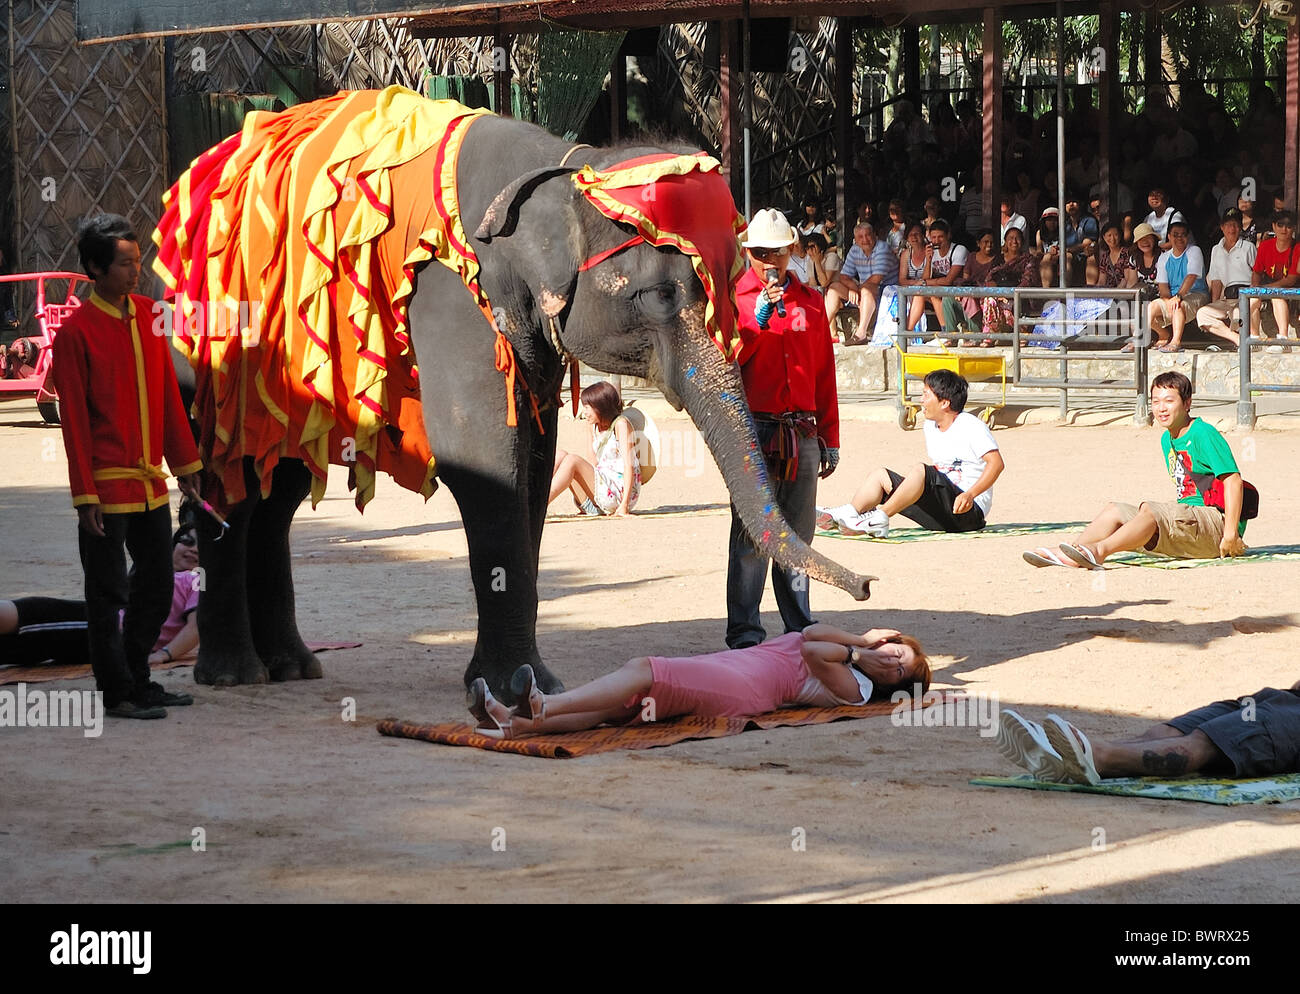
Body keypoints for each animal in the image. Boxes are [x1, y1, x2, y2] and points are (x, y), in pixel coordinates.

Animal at [157, 92, 873, 703]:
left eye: (719, 288)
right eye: (657, 295)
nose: (866, 584)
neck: (561, 164)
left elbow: (534, 460)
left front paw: (533, 685)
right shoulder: (448, 292)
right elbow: (484, 458)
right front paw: (509, 689)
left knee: (275, 488)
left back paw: (292, 667)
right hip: (211, 348)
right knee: (234, 483)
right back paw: (234, 675)